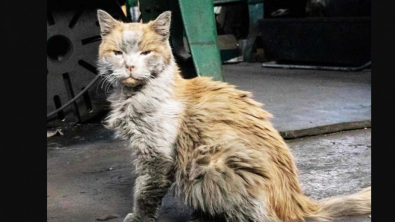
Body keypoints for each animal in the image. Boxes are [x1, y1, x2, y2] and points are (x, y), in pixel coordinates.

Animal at [96, 9, 372, 221]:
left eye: (145, 53)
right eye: (118, 53)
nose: (130, 66)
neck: (133, 95)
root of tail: (298, 202)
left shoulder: (157, 155)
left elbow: (145, 191)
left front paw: (138, 217)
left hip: (215, 162)